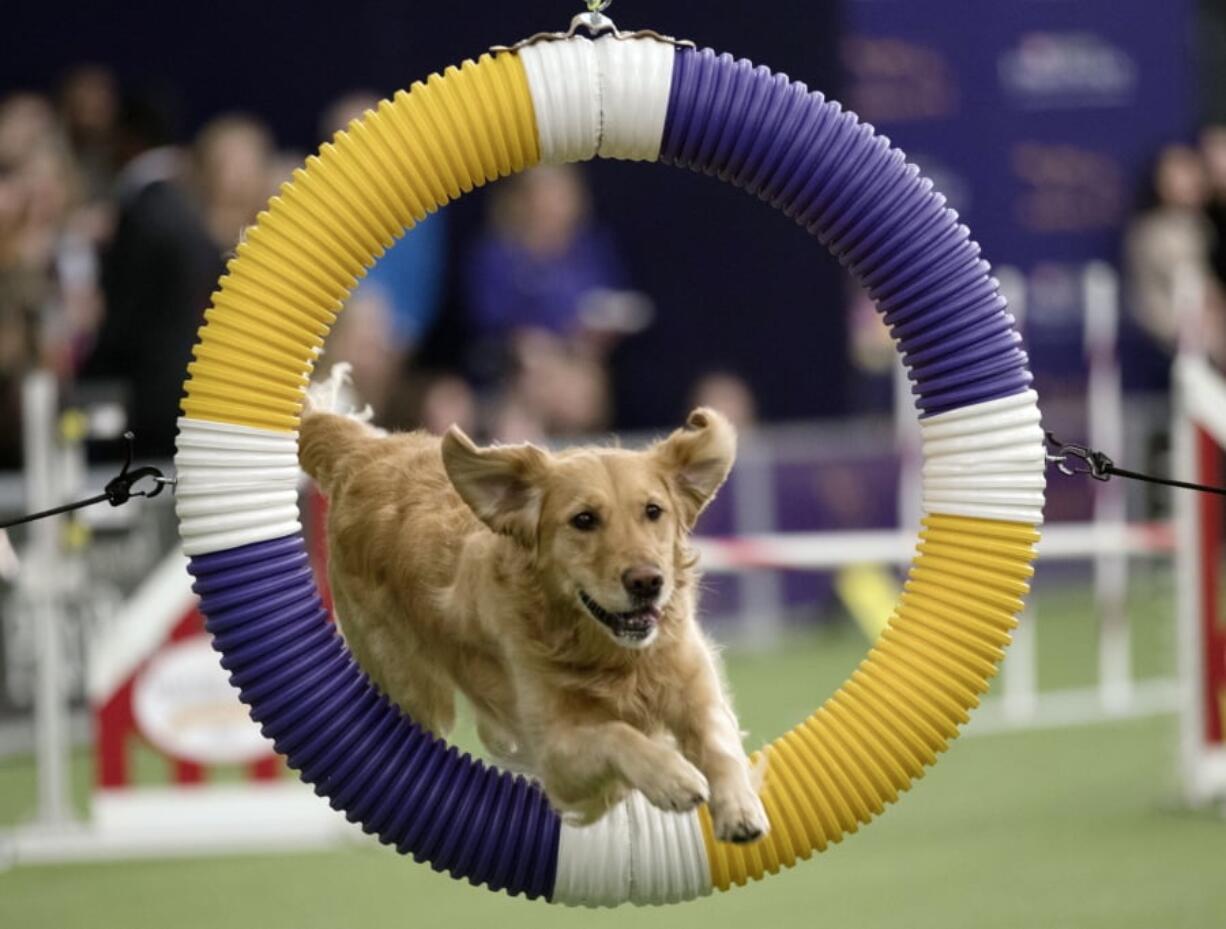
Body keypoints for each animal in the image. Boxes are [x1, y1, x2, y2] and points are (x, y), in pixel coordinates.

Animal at [299, 389, 765, 848]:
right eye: (584, 520)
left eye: (653, 511)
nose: (647, 582)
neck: (613, 656)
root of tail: (364, 451)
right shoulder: (556, 752)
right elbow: (615, 735)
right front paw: (672, 776)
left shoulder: (693, 682)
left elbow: (718, 740)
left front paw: (740, 807)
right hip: (414, 689)